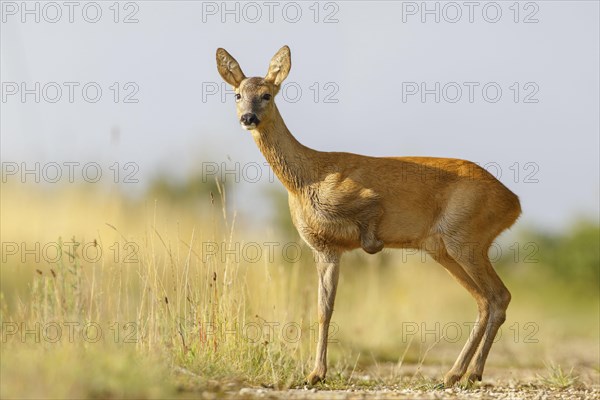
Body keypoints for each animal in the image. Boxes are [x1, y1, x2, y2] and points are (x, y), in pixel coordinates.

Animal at [216, 45, 520, 386]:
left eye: (267, 94)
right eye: (237, 94)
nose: (248, 118)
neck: (307, 179)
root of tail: (514, 203)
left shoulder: (363, 207)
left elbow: (370, 221)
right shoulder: (325, 248)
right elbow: (323, 309)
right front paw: (315, 373)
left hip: (466, 239)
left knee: (497, 296)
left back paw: (463, 373)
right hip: (442, 248)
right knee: (486, 299)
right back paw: (463, 373)